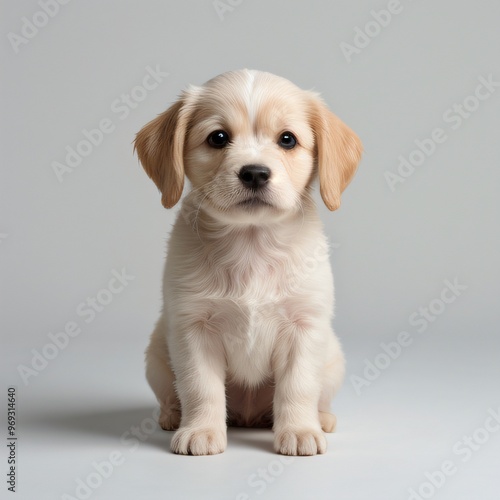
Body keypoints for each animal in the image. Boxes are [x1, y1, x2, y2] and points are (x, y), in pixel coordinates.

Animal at [135, 70, 362, 458]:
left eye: (287, 139)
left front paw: (299, 430)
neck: (251, 245)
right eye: (218, 137)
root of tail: (249, 415)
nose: (255, 173)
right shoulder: (193, 329)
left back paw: (322, 418)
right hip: (156, 359)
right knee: (174, 393)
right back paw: (172, 416)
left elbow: (298, 386)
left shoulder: (304, 327)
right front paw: (201, 430)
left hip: (333, 358)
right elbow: (200, 387)